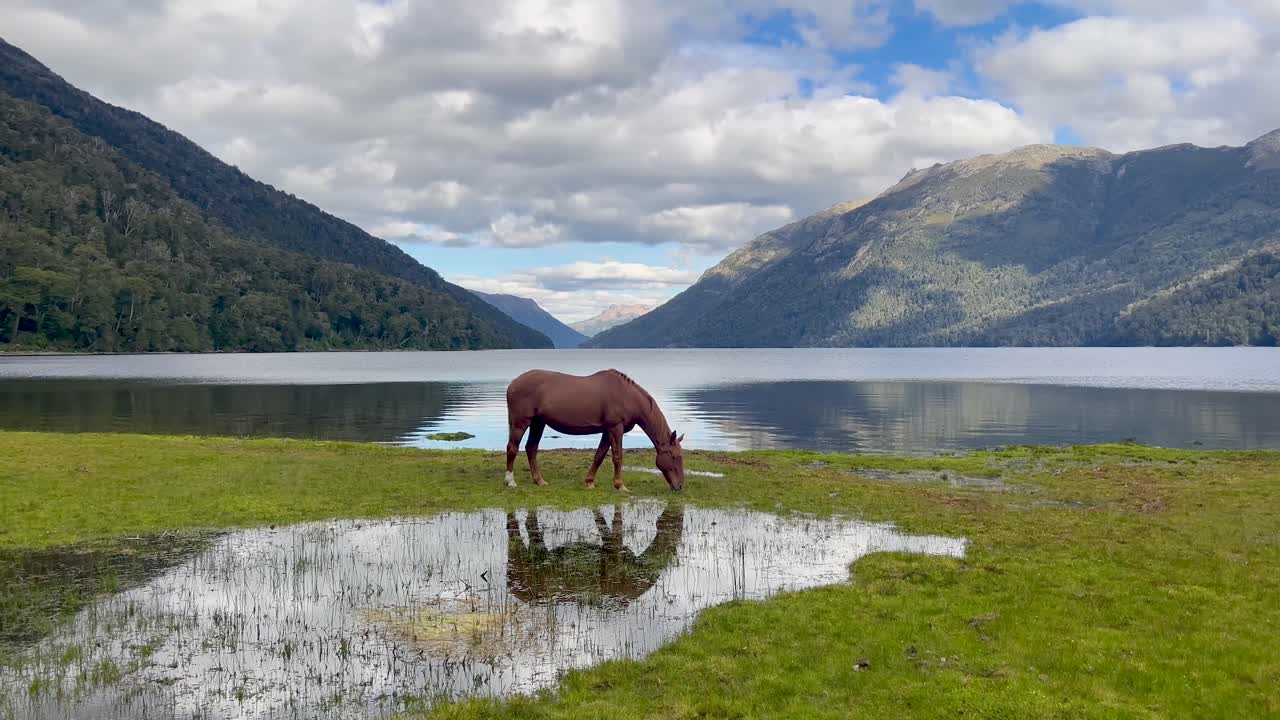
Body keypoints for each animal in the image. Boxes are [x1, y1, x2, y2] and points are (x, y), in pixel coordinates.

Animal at [504, 368, 685, 491]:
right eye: (675, 456)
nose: (680, 486)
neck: (627, 396)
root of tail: (513, 383)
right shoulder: (615, 428)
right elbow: (617, 457)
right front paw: (620, 486)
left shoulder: (607, 431)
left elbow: (599, 455)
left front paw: (590, 482)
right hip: (521, 422)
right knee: (513, 448)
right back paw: (510, 481)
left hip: (538, 423)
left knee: (531, 448)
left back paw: (539, 480)